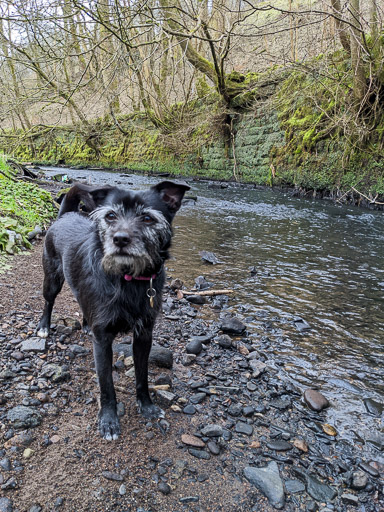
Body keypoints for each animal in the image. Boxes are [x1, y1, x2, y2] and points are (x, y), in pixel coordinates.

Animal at [36, 180, 190, 440]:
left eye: (147, 218)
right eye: (110, 215)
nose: (120, 239)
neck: (128, 279)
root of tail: (65, 215)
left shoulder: (144, 336)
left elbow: (142, 377)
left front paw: (147, 406)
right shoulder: (103, 340)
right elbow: (106, 384)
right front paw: (109, 420)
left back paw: (85, 325)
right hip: (52, 279)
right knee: (48, 302)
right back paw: (44, 327)